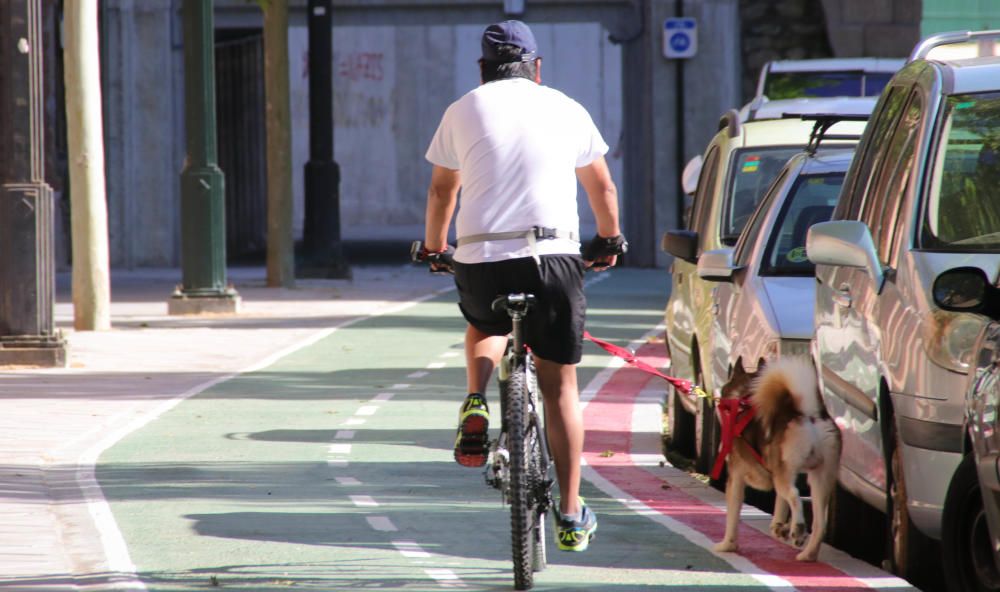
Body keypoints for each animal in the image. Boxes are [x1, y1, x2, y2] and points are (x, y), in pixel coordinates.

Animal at [712, 358, 844, 560]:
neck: (744, 396)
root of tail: (806, 414)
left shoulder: (736, 477)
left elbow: (732, 515)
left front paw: (728, 545)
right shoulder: (776, 472)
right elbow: (780, 504)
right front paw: (779, 527)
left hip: (786, 476)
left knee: (795, 496)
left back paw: (798, 530)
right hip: (819, 478)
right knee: (818, 522)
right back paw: (806, 553)